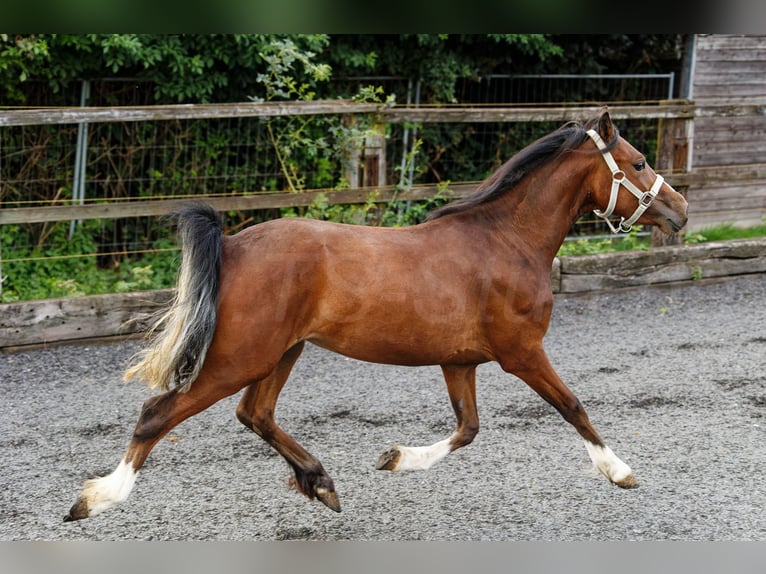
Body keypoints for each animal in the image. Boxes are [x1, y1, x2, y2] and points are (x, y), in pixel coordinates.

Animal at [66, 108, 688, 520]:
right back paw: (96, 499)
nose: (680, 211)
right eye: (637, 162)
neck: (507, 241)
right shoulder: (521, 352)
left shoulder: (460, 361)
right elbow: (573, 406)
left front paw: (395, 459)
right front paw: (620, 472)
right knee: (158, 413)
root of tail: (235, 246)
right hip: (240, 356)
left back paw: (320, 483)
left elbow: (467, 429)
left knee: (255, 414)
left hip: (280, 352)